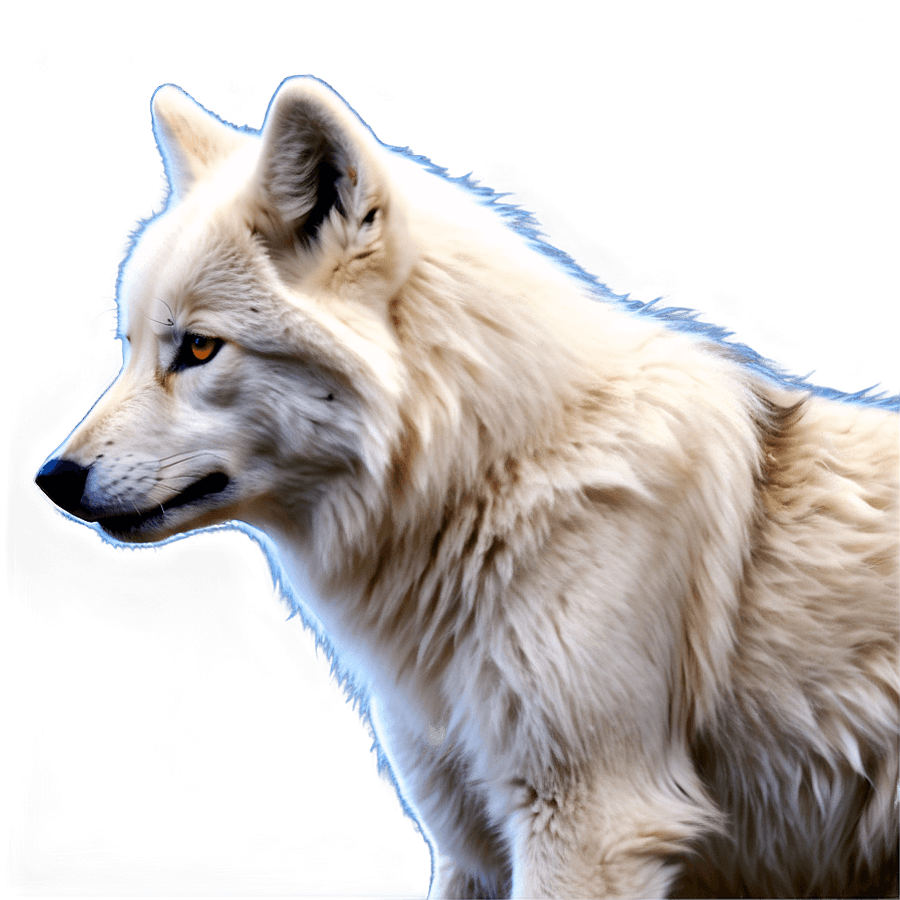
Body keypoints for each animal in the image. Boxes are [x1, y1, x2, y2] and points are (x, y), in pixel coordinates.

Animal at [35, 77, 898, 898]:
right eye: (130, 346)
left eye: (198, 348)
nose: (51, 479)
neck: (490, 481)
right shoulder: (469, 846)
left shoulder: (593, 821)